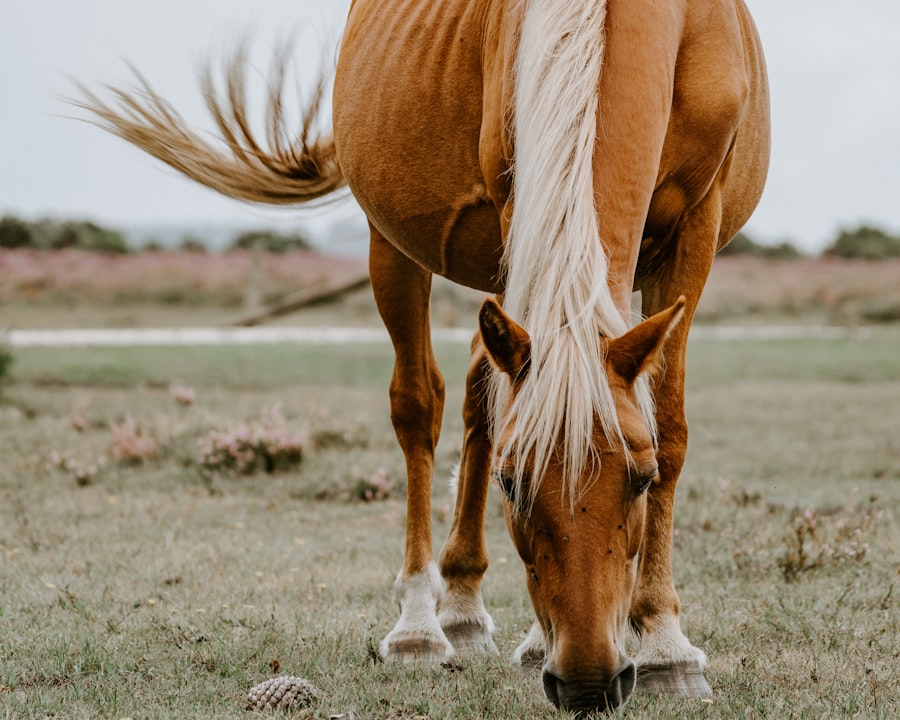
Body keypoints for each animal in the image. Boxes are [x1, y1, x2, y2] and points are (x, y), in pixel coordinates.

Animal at [79, 0, 769, 712]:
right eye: (511, 484)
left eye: (641, 478)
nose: (586, 682)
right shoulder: (516, 204)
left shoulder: (697, 226)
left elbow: (670, 425)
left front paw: (665, 645)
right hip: (397, 244)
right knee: (422, 405)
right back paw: (426, 623)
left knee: (480, 395)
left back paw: (479, 613)